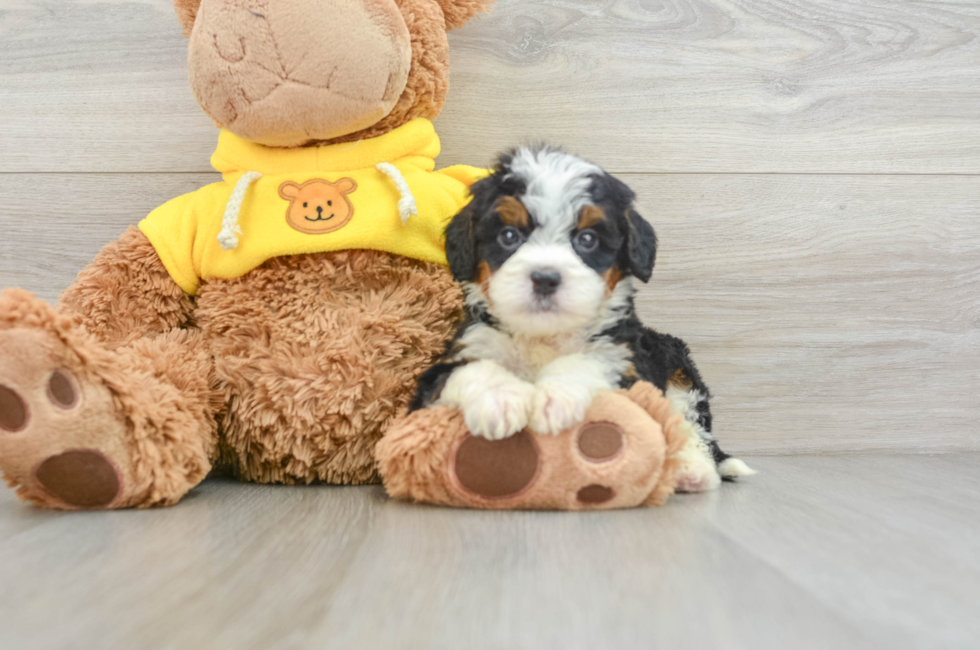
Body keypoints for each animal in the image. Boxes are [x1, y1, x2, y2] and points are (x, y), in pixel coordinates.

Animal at [410, 147, 756, 488]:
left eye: (587, 239)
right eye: (509, 236)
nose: (545, 278)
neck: (543, 337)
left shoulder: (628, 365)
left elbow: (591, 363)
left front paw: (554, 399)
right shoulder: (446, 369)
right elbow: (469, 370)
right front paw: (499, 401)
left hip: (681, 374)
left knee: (691, 426)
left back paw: (690, 468)